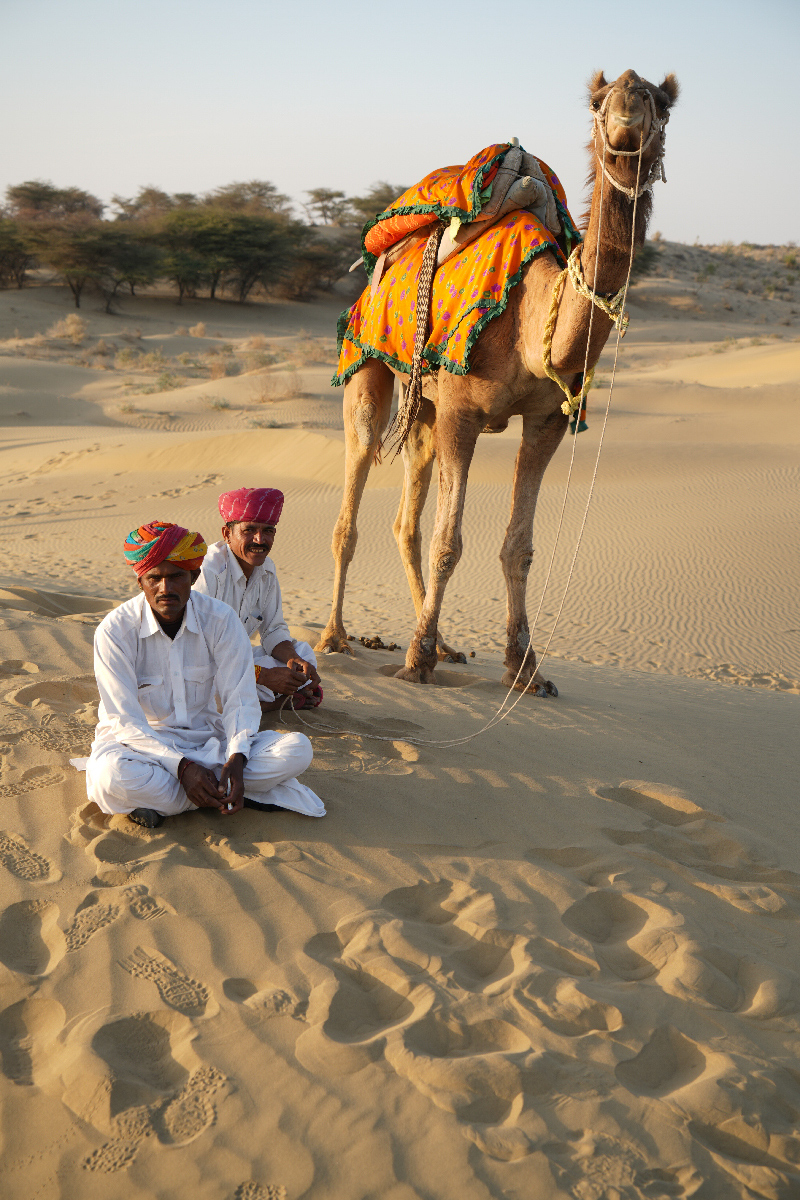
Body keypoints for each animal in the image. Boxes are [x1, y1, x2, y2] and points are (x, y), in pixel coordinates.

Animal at [316, 70, 681, 696]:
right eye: (597, 100)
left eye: (660, 101)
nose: (627, 109)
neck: (533, 323)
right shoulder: (463, 411)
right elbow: (450, 542)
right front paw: (417, 662)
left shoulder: (547, 419)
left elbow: (519, 547)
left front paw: (526, 668)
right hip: (364, 362)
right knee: (354, 497)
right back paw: (335, 638)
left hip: (426, 409)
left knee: (406, 519)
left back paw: (444, 642)